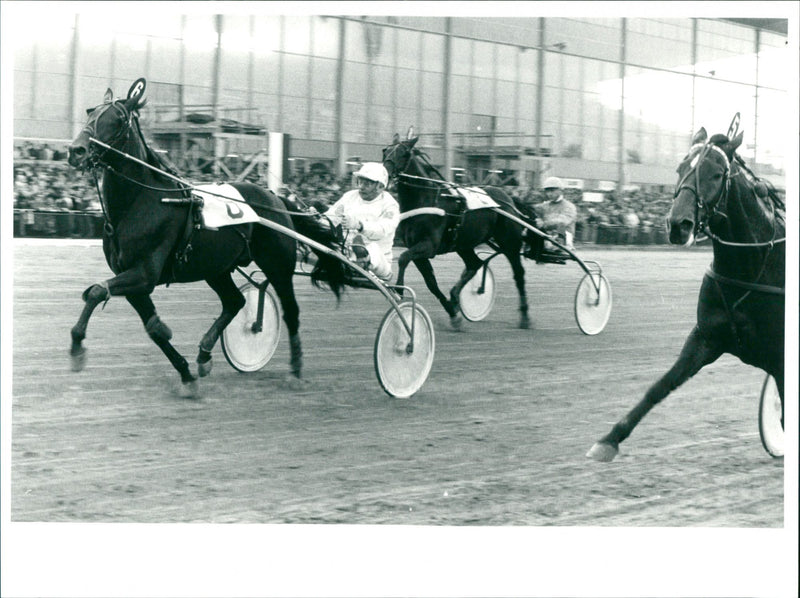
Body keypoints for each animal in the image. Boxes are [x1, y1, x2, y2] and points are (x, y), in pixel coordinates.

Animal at [68, 79, 344, 398]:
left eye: (118, 119)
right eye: (91, 112)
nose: (76, 150)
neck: (141, 201)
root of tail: (275, 197)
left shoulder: (144, 274)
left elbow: (96, 292)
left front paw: (76, 347)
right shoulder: (133, 278)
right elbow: (154, 328)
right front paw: (187, 374)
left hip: (278, 265)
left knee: (290, 311)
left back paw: (296, 371)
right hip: (216, 267)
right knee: (235, 301)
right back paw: (204, 354)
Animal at [382, 135, 532, 330]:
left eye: (404, 153)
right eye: (385, 151)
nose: (384, 172)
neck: (427, 199)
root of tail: (509, 199)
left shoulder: (428, 246)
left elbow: (403, 258)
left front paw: (399, 290)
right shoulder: (417, 248)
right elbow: (431, 282)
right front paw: (453, 313)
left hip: (510, 243)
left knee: (518, 274)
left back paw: (525, 317)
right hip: (464, 243)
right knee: (475, 264)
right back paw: (455, 296)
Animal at [588, 123, 788, 464]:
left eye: (717, 174)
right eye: (681, 168)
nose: (677, 225)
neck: (755, 265)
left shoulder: (779, 356)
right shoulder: (706, 337)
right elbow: (661, 386)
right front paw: (609, 439)